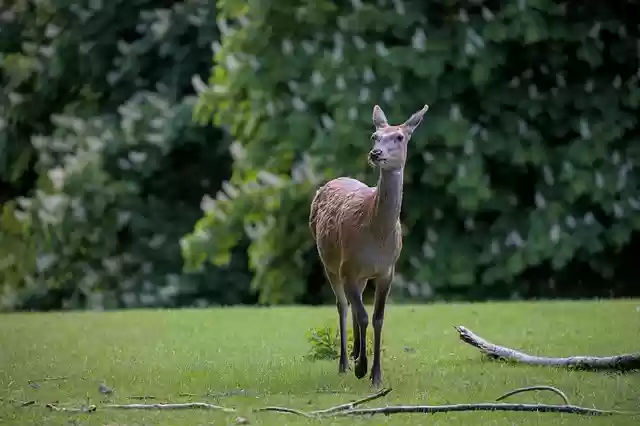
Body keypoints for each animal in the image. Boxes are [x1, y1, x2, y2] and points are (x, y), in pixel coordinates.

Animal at [309, 103, 429, 388]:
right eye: (375, 136)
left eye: (400, 136)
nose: (376, 153)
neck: (377, 238)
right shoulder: (348, 267)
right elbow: (364, 315)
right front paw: (363, 368)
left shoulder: (387, 270)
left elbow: (377, 318)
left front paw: (375, 375)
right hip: (330, 262)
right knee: (343, 305)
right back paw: (345, 362)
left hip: (360, 274)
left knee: (355, 305)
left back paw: (354, 354)